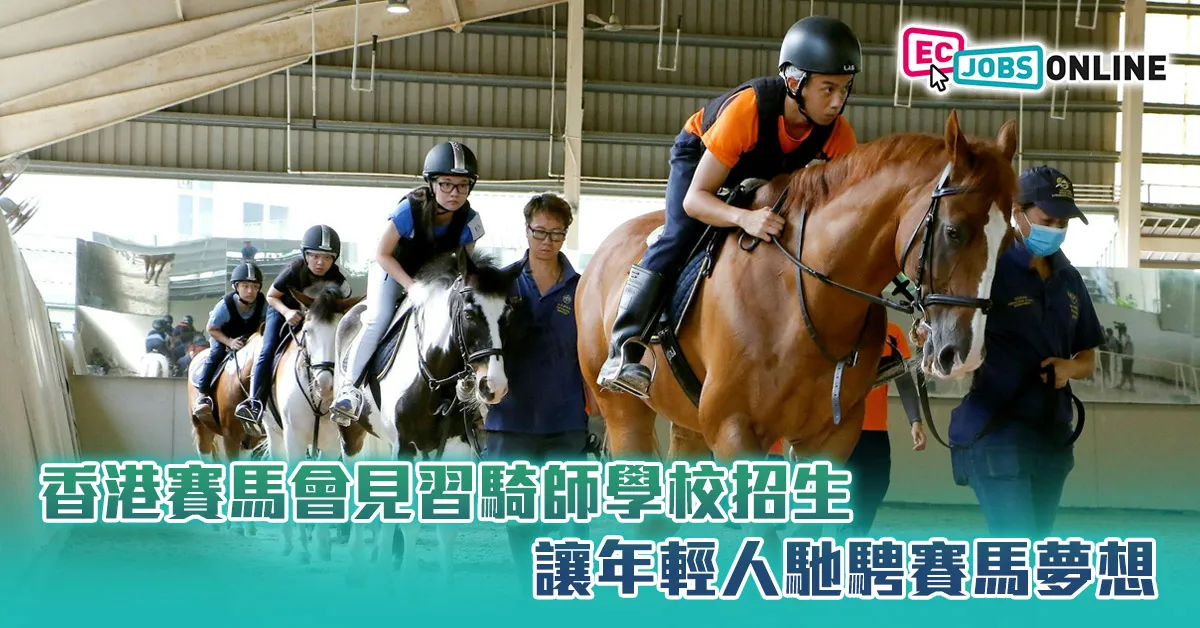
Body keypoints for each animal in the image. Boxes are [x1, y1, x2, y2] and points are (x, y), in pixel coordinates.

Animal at [184, 331, 267, 535]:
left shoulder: (254, 440)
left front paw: (247, 524)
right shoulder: (231, 436)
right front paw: (237, 524)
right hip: (202, 428)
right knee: (205, 457)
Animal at [257, 282, 363, 564]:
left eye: (339, 332)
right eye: (307, 331)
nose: (324, 383)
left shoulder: (331, 442)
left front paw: (322, 546)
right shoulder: (293, 436)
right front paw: (303, 548)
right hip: (275, 434)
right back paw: (288, 541)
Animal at [334, 248, 520, 589]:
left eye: (506, 315)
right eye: (470, 314)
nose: (494, 386)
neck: (435, 378)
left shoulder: (455, 449)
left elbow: (446, 526)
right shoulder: (406, 447)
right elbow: (405, 520)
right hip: (352, 433)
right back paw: (358, 567)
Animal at [576, 111, 1018, 543]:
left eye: (1008, 241)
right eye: (953, 231)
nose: (961, 354)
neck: (800, 299)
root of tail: (599, 259)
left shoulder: (830, 436)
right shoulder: (732, 427)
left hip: (688, 419)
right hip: (623, 408)